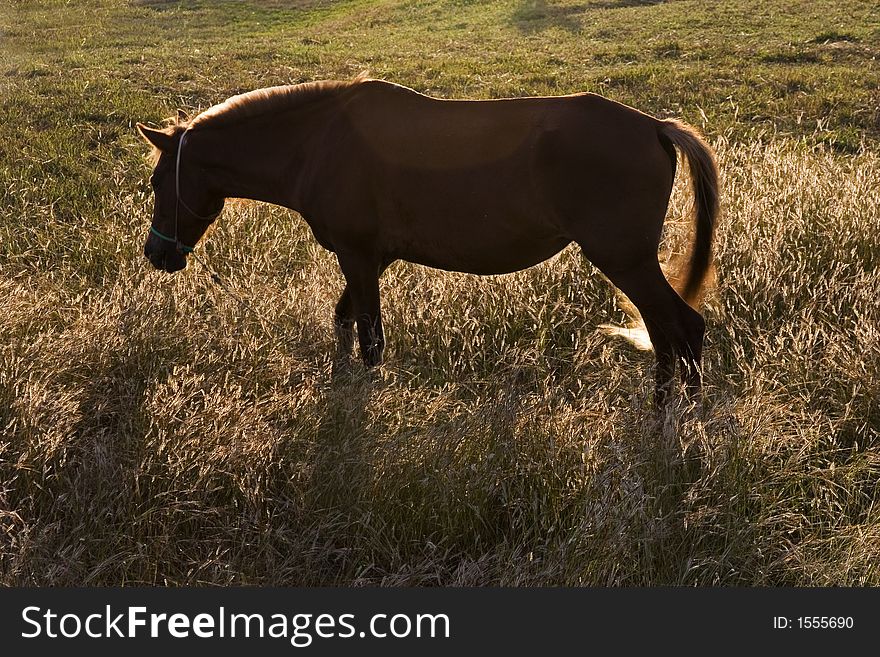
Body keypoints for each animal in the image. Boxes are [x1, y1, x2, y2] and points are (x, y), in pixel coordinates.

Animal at [136, 77, 716, 404]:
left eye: (158, 182)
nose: (156, 253)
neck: (318, 142)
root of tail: (655, 127)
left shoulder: (358, 255)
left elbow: (370, 340)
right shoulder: (371, 259)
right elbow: (345, 323)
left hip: (625, 259)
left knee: (682, 327)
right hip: (630, 263)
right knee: (666, 334)